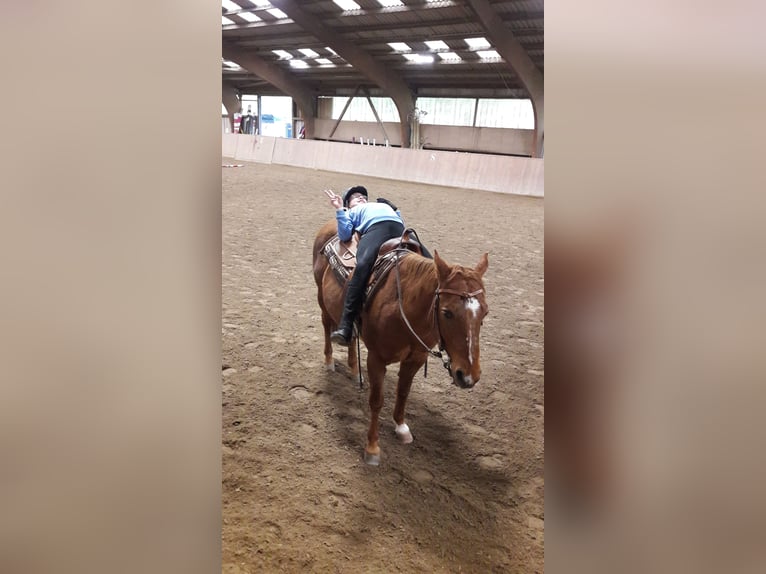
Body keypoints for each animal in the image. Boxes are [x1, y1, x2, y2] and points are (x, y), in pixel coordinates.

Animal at [314, 220, 488, 468]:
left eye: (485, 313)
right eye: (447, 312)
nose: (468, 376)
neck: (403, 304)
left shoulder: (415, 359)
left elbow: (403, 392)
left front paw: (401, 427)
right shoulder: (376, 359)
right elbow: (377, 401)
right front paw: (372, 448)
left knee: (352, 336)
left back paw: (355, 370)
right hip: (322, 298)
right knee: (326, 325)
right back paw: (330, 361)